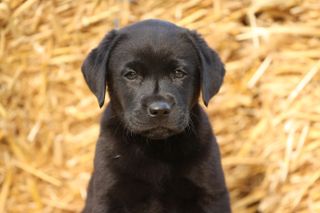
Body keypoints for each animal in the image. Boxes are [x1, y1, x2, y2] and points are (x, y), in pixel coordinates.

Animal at [80, 19, 230, 212]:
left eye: (179, 73)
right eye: (131, 74)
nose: (159, 109)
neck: (156, 149)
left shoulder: (211, 193)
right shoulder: (107, 195)